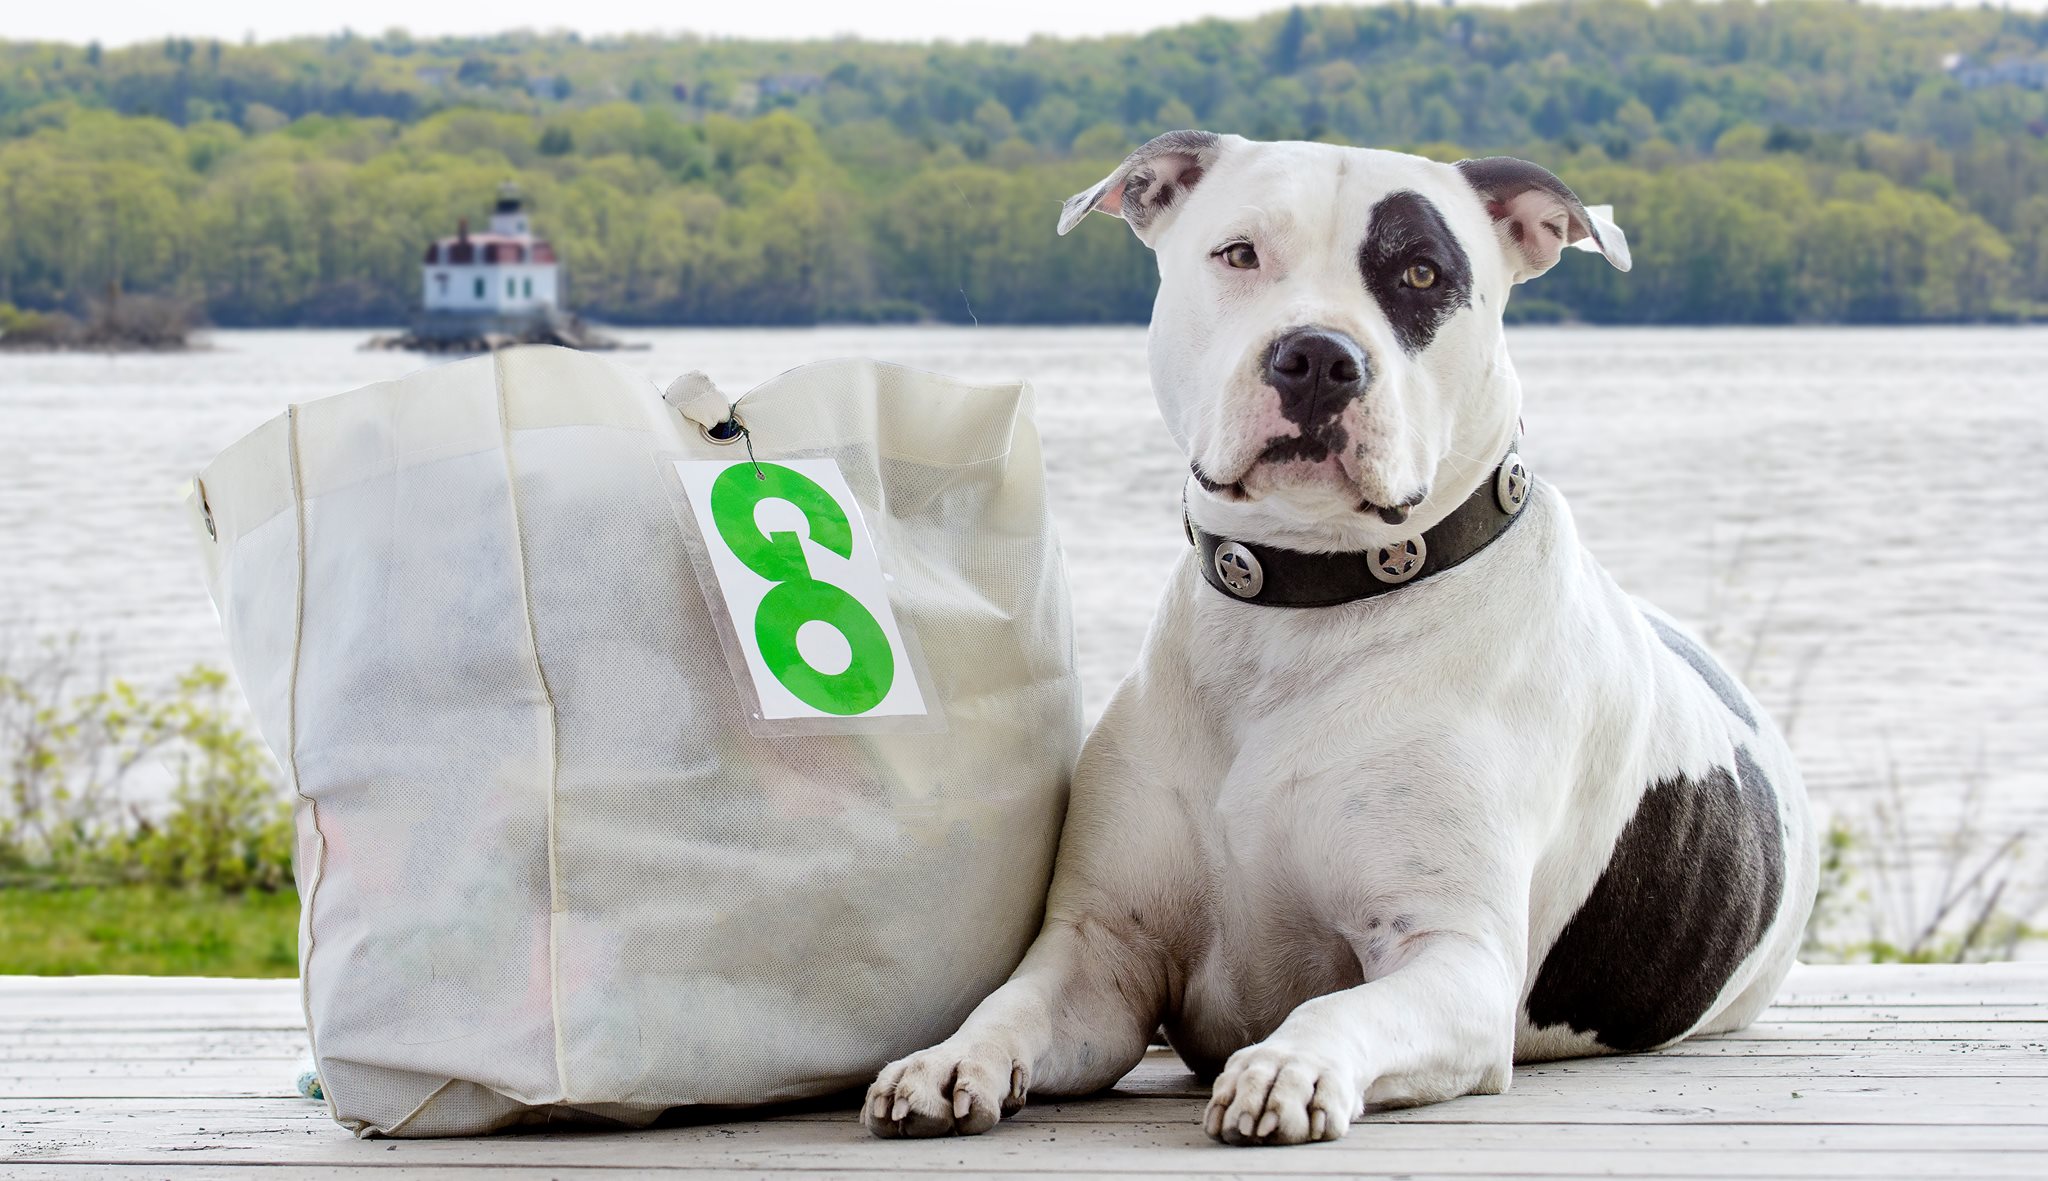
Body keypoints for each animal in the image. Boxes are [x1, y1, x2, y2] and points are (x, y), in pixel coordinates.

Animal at [856, 133, 1818, 1146]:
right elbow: (1015, 1002)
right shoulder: (1104, 949)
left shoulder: (1449, 954)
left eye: (1423, 272)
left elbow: (1343, 1005)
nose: (1318, 355)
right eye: (1240, 254)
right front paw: (948, 1056)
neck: (1303, 610)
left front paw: (1287, 1065)